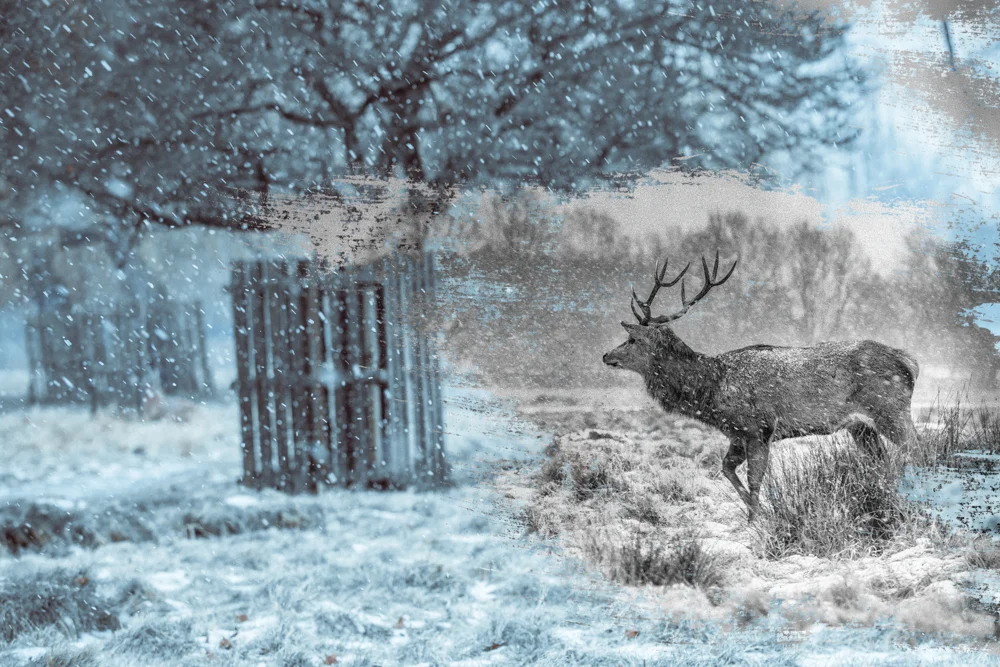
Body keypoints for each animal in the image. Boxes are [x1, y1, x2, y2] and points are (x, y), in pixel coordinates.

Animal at [602, 253, 919, 520]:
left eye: (632, 340)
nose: (606, 355)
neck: (712, 392)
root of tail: (908, 361)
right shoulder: (737, 433)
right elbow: (726, 468)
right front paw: (758, 513)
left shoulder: (759, 427)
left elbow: (755, 479)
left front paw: (757, 521)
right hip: (861, 426)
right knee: (882, 459)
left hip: (889, 409)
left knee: (915, 446)